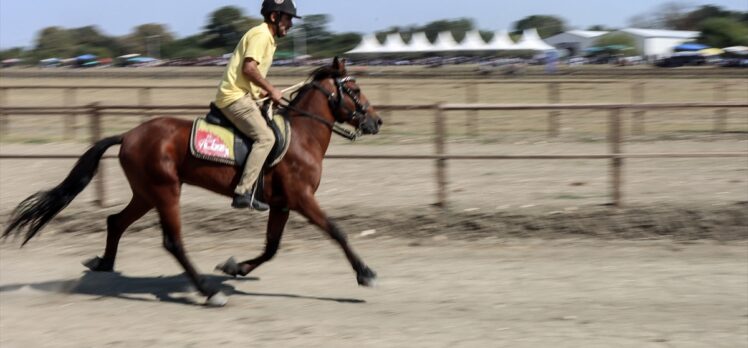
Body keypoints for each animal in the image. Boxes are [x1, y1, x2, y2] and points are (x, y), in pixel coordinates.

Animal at [2, 58, 382, 306]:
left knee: (115, 221)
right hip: (165, 191)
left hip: (146, 193)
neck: (302, 136)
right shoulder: (301, 198)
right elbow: (336, 230)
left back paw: (104, 263)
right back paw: (208, 292)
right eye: (355, 88)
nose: (376, 121)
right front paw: (365, 272)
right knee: (173, 242)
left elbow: (272, 247)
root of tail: (129, 134)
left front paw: (235, 266)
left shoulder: (282, 203)